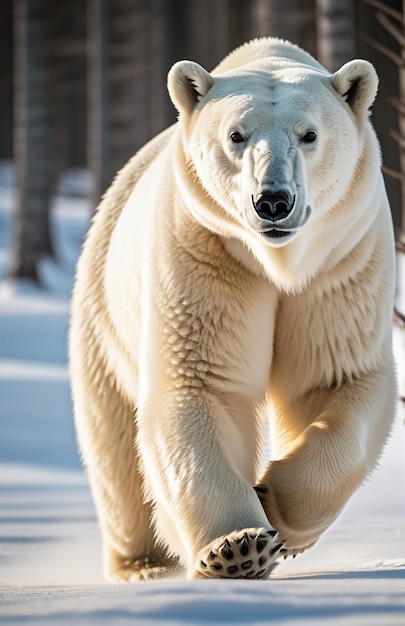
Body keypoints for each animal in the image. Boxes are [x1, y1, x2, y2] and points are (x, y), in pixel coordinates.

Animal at [69, 36, 394, 576]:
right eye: (236, 135)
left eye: (309, 133)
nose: (273, 201)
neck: (277, 261)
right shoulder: (205, 247)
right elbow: (202, 382)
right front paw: (237, 548)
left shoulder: (340, 261)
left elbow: (334, 378)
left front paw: (274, 503)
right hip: (103, 311)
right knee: (113, 444)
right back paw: (145, 564)